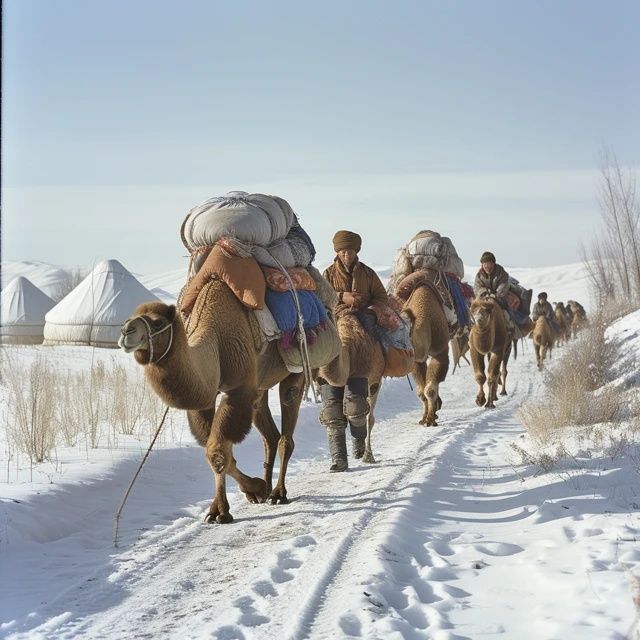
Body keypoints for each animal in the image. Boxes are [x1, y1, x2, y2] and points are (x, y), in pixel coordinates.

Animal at [120, 280, 312, 524]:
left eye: (157, 322)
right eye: (129, 317)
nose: (126, 331)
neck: (214, 341)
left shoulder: (239, 389)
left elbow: (217, 452)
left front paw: (223, 510)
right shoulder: (207, 400)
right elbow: (219, 452)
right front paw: (253, 491)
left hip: (296, 367)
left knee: (286, 425)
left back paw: (279, 493)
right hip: (260, 387)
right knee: (270, 435)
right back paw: (268, 487)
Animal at [316, 316, 382, 464]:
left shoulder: (366, 374)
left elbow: (361, 413)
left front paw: (365, 455)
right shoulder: (327, 381)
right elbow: (332, 414)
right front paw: (339, 462)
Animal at [400, 282, 450, 424]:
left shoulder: (440, 353)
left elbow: (430, 390)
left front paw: (430, 420)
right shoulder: (417, 360)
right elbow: (422, 392)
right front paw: (425, 418)